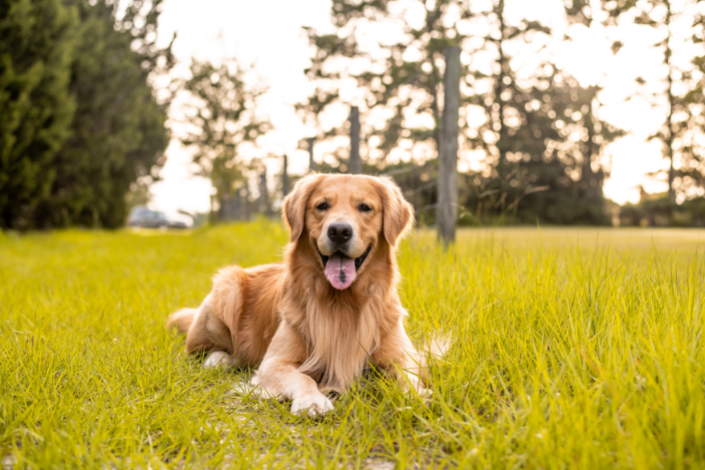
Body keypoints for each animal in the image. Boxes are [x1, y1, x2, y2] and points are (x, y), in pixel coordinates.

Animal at [170, 173, 432, 414]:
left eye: (365, 207)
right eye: (322, 206)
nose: (339, 231)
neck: (342, 302)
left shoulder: (403, 357)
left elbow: (409, 377)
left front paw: (416, 397)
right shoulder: (274, 362)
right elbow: (302, 377)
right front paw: (312, 400)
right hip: (228, 286)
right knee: (201, 350)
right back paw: (219, 360)